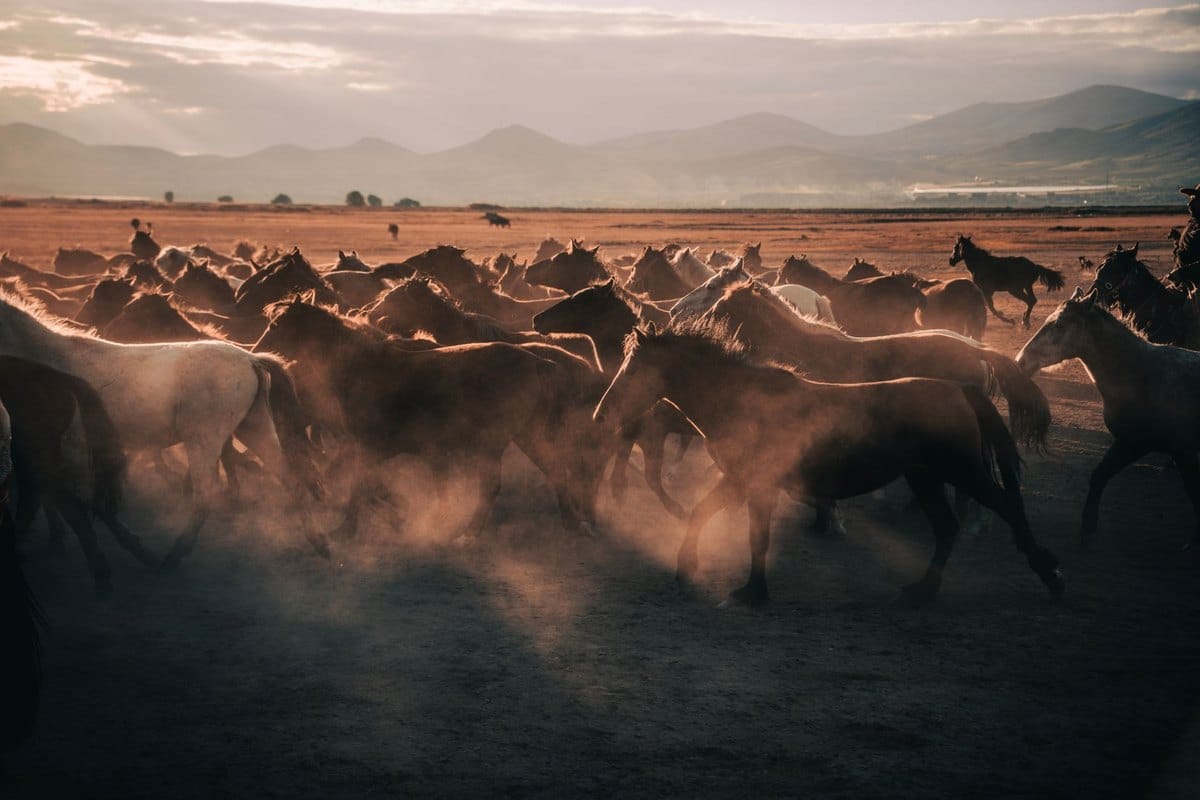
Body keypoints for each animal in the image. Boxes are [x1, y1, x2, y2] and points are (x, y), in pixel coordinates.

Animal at [0, 292, 327, 568]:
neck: (46, 365)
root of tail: (250, 359)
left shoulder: (69, 450)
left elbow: (84, 504)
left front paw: (134, 548)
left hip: (203, 441)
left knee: (205, 495)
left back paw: (174, 554)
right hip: (254, 429)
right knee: (290, 477)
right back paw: (320, 542)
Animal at [594, 320, 1064, 607]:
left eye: (633, 370)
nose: (602, 416)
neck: (738, 398)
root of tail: (962, 390)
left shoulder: (757, 484)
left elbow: (756, 537)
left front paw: (752, 592)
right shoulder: (740, 479)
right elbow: (700, 512)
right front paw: (687, 567)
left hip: (961, 471)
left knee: (1005, 508)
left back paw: (1050, 574)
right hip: (924, 477)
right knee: (946, 528)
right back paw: (921, 591)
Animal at [1018, 287, 1200, 550]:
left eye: (1060, 325)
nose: (1021, 361)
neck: (1142, 376)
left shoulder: (1171, 449)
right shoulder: (1133, 443)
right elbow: (1099, 476)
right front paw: (1087, 530)